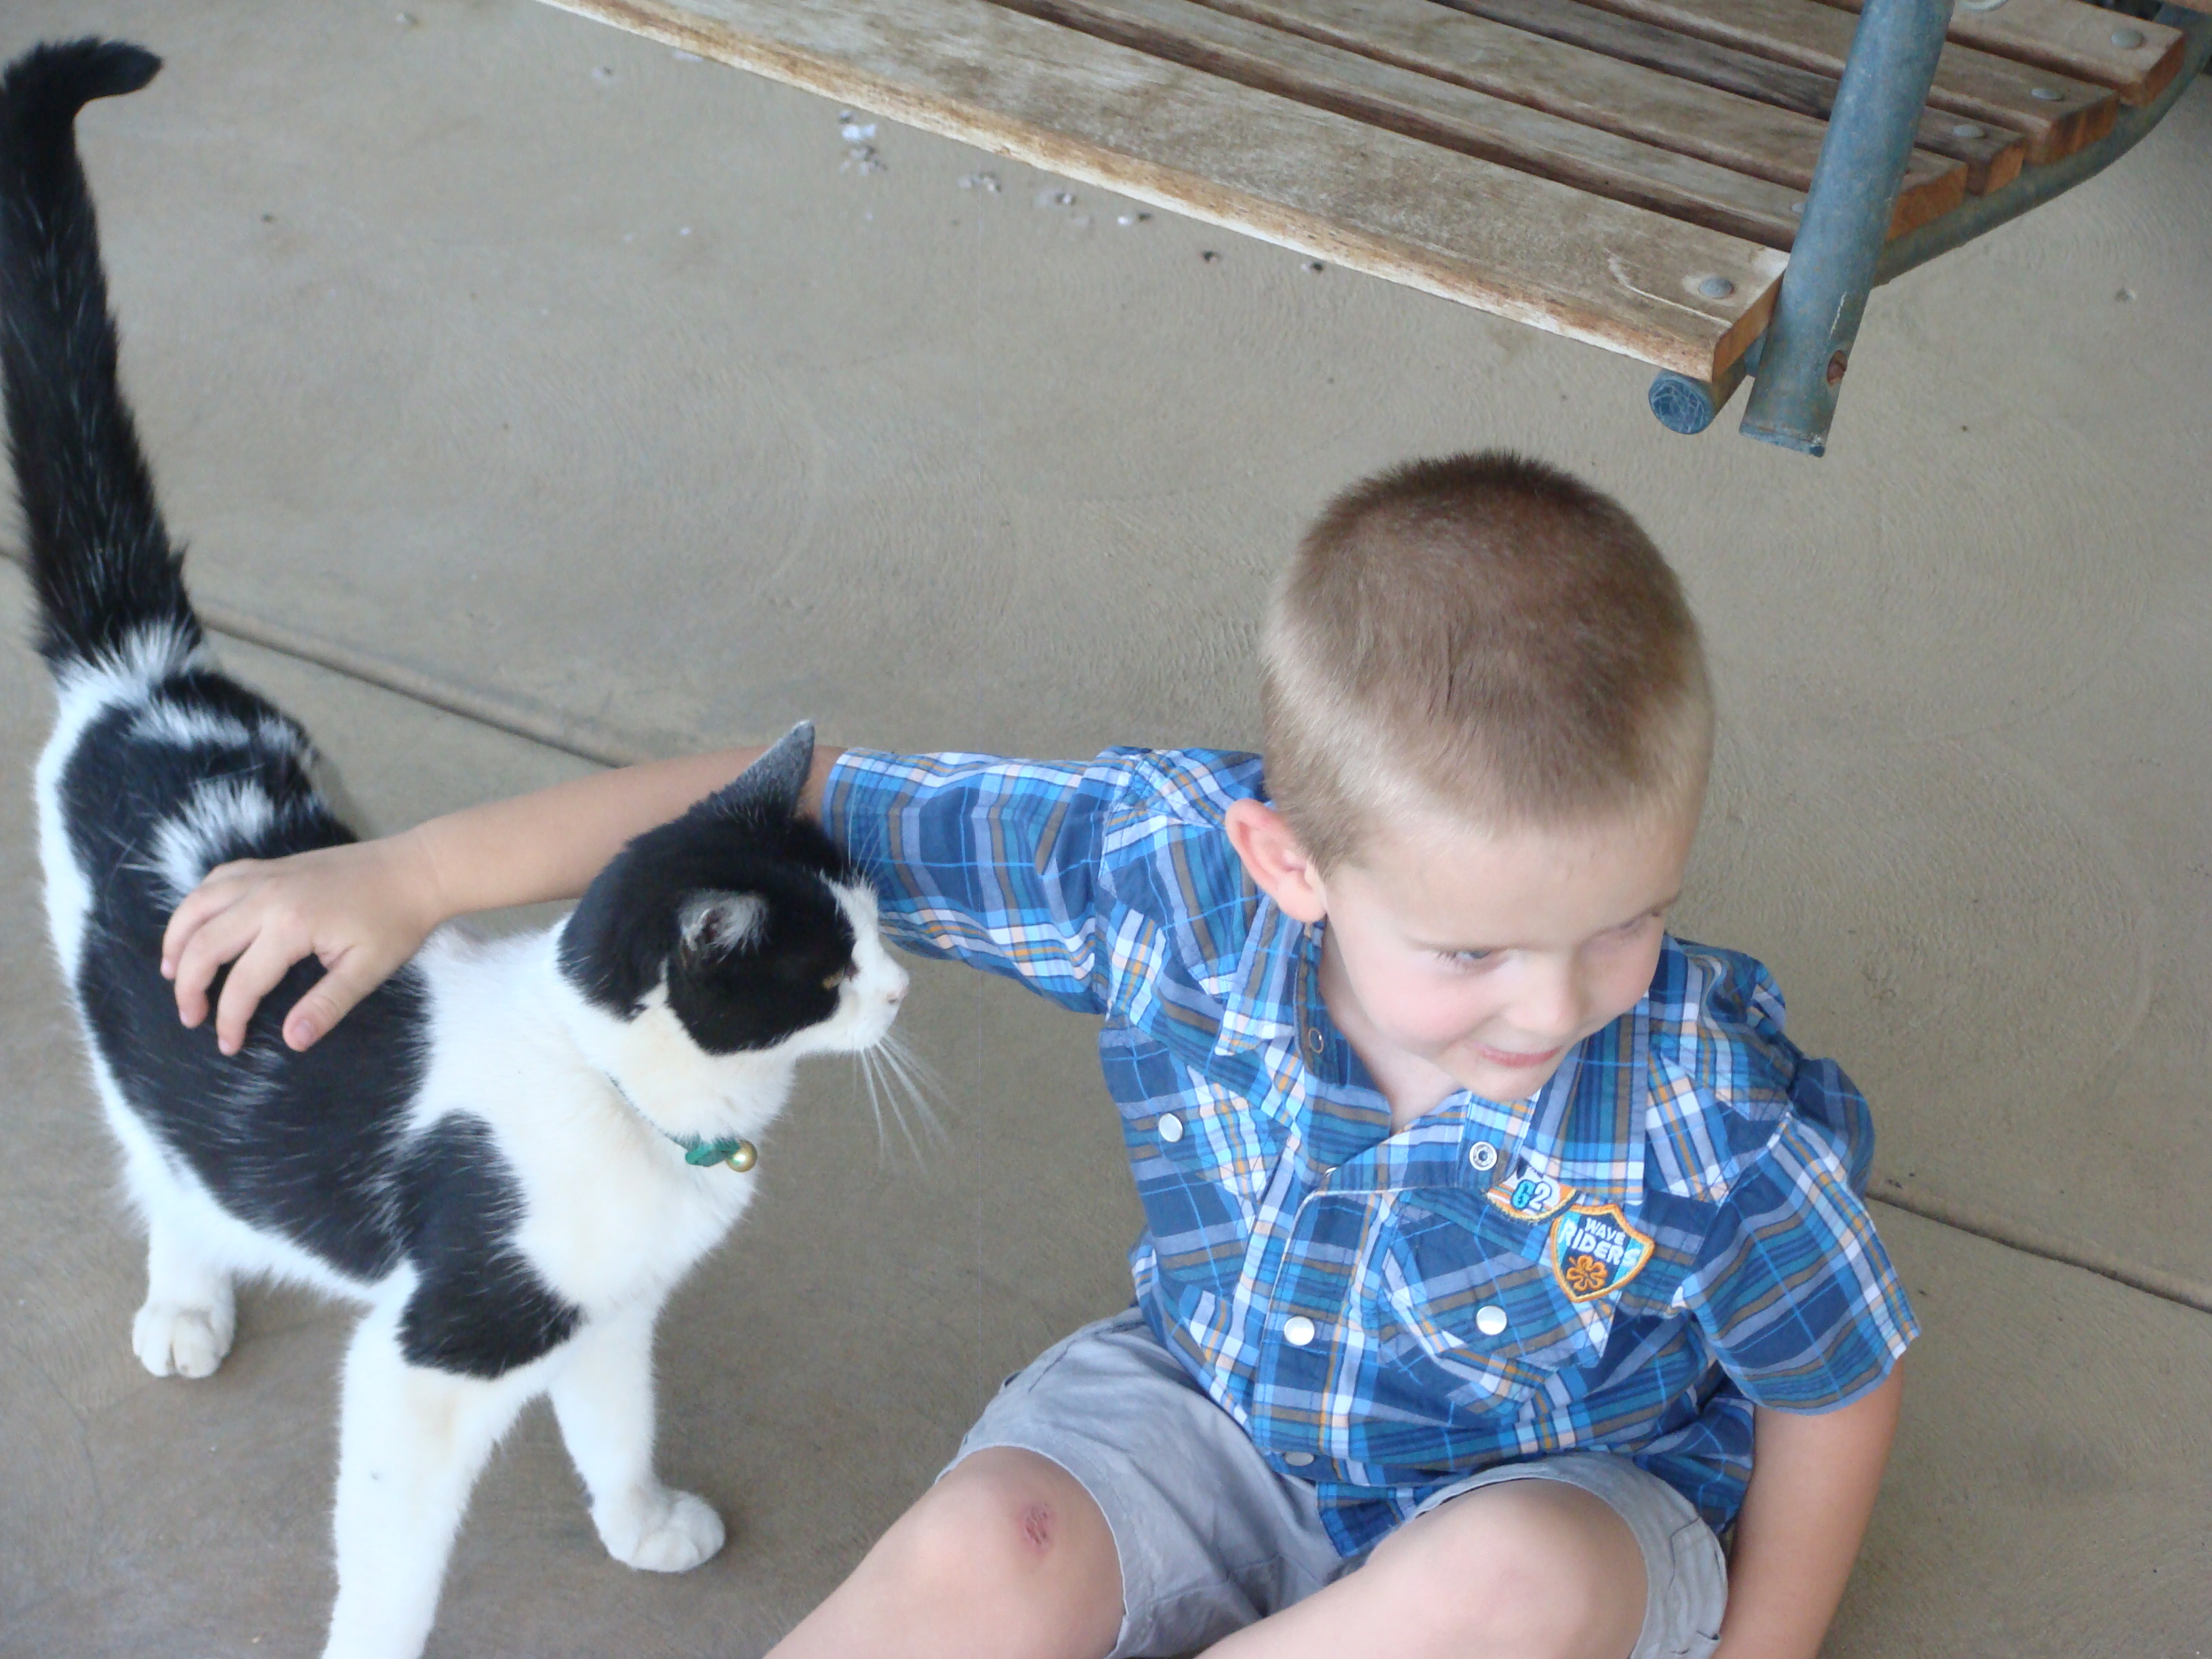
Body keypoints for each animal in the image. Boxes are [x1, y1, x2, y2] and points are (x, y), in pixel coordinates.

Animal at [4, 38, 910, 1659]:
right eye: (828, 966)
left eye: (870, 922)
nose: (902, 988)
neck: (632, 1100)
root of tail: (148, 679)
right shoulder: (434, 1358)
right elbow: (393, 1555)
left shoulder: (609, 1319)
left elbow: (616, 1427)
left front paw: (643, 1524)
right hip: (128, 1034)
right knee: (163, 1161)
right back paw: (187, 1301)